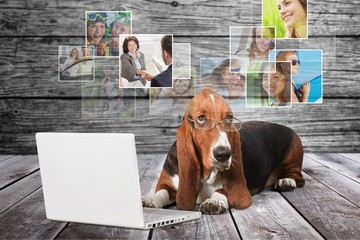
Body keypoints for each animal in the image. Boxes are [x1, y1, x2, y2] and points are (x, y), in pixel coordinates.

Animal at [142, 89, 306, 215]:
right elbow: (162, 192)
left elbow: (224, 190)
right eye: (201, 119)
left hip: (292, 157)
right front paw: (150, 200)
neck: (206, 175)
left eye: (229, 118)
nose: (224, 154)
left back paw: (286, 181)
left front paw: (214, 201)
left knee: (298, 177)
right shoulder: (167, 182)